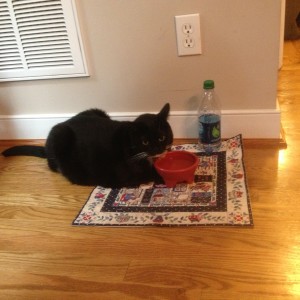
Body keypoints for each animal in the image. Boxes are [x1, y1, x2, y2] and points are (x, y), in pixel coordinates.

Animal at [2, 103, 173, 188]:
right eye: (145, 141)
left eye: (162, 137)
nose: (158, 149)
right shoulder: (125, 176)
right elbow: (147, 174)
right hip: (60, 135)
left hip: (96, 111)